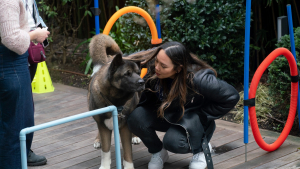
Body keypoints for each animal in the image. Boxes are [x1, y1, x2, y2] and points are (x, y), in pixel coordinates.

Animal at [87, 34, 146, 169]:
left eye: (138, 73)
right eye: (127, 74)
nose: (142, 82)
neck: (115, 101)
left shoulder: (124, 127)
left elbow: (127, 151)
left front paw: (128, 166)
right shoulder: (103, 125)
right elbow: (105, 150)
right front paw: (104, 166)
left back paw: (135, 137)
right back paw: (97, 140)